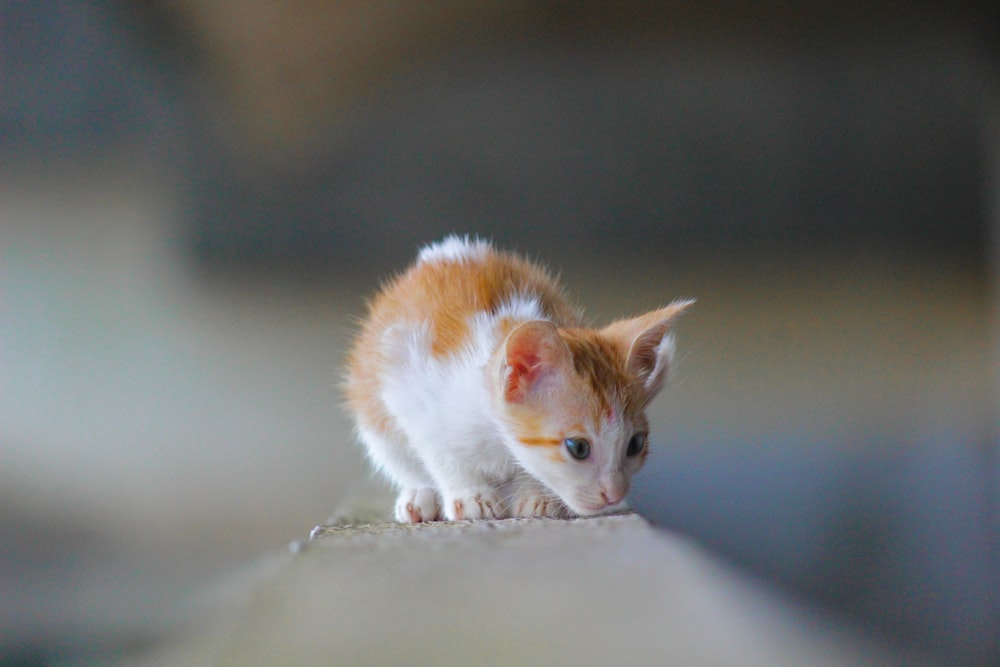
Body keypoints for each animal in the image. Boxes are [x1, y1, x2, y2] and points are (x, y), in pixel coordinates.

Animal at [342, 237, 688, 524]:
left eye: (635, 444)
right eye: (578, 447)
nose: (614, 494)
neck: (495, 437)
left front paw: (538, 496)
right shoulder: (410, 386)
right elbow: (438, 450)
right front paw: (470, 495)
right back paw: (419, 496)